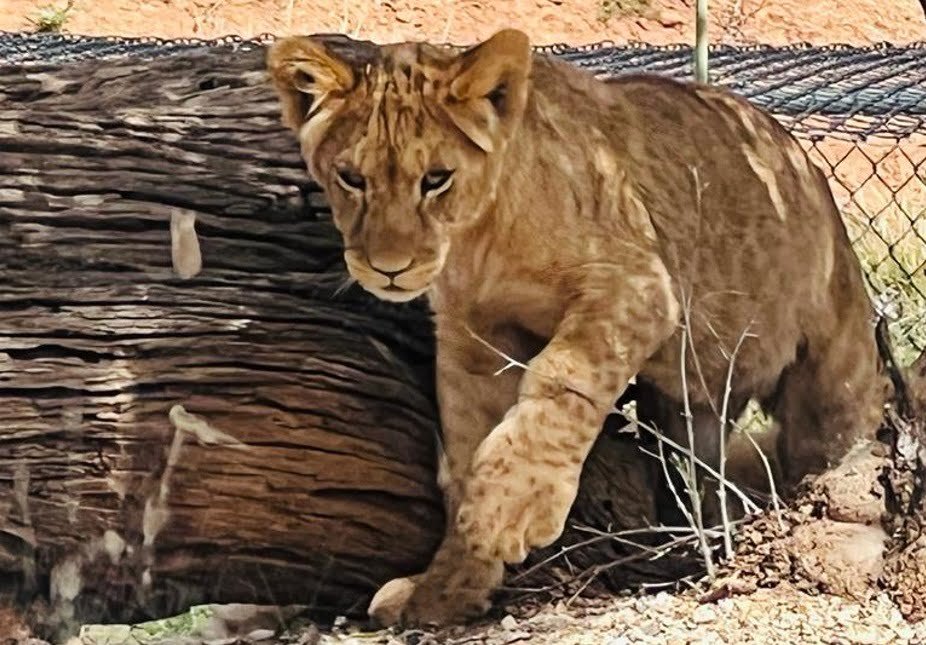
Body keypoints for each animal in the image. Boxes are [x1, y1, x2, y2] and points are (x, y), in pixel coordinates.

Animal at [266, 29, 891, 626]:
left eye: (436, 179)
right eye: (352, 178)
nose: (388, 267)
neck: (477, 240)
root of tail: (798, 157)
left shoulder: (636, 286)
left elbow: (561, 378)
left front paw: (512, 508)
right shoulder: (473, 340)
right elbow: (464, 460)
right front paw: (445, 591)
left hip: (831, 371)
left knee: (838, 435)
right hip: (691, 405)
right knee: (699, 472)